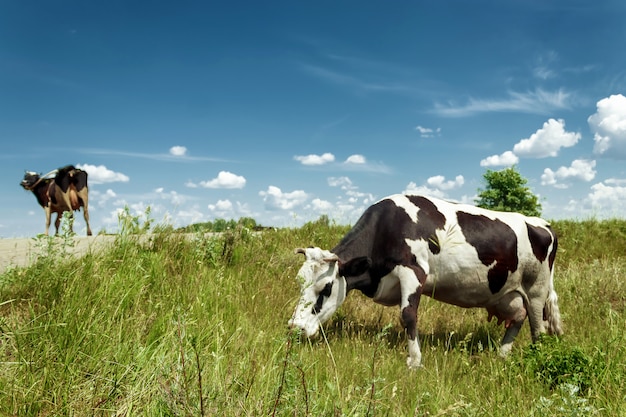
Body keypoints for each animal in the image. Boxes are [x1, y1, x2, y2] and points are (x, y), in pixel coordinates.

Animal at [290, 193, 564, 366]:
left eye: (326, 288)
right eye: (299, 283)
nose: (295, 328)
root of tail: (542, 223)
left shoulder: (413, 271)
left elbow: (408, 316)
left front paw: (414, 361)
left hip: (536, 289)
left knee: (537, 327)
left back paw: (535, 358)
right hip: (507, 295)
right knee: (517, 318)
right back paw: (502, 355)